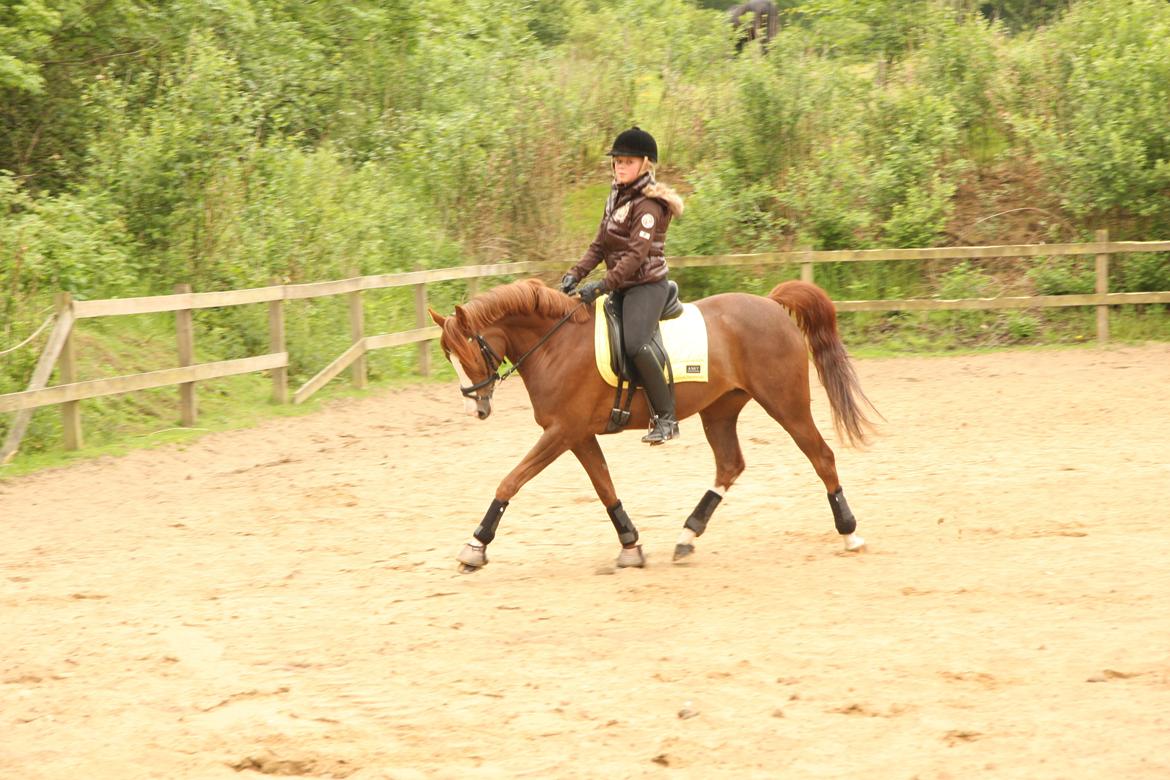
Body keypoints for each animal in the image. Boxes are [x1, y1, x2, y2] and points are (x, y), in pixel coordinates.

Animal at [428, 277, 877, 572]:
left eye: (467, 353)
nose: (475, 410)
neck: (555, 343)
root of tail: (771, 304)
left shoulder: (562, 432)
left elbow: (511, 481)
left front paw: (475, 546)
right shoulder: (578, 435)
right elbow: (604, 487)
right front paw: (631, 546)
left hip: (786, 403)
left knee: (821, 456)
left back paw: (850, 533)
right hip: (720, 410)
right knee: (730, 464)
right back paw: (687, 536)